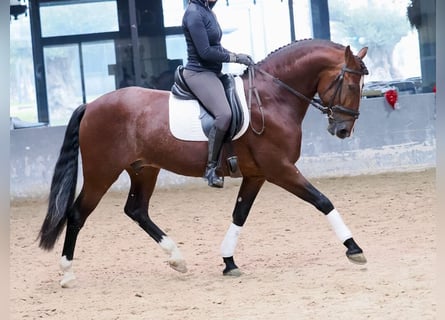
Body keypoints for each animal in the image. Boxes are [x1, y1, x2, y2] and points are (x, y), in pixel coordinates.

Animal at [39, 38, 368, 286]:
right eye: (352, 86)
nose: (343, 131)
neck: (272, 98)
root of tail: (91, 105)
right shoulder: (280, 169)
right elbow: (322, 201)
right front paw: (354, 248)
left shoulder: (257, 175)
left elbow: (240, 215)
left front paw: (228, 262)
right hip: (102, 171)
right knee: (77, 214)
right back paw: (67, 273)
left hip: (144, 169)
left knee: (136, 210)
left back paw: (177, 259)